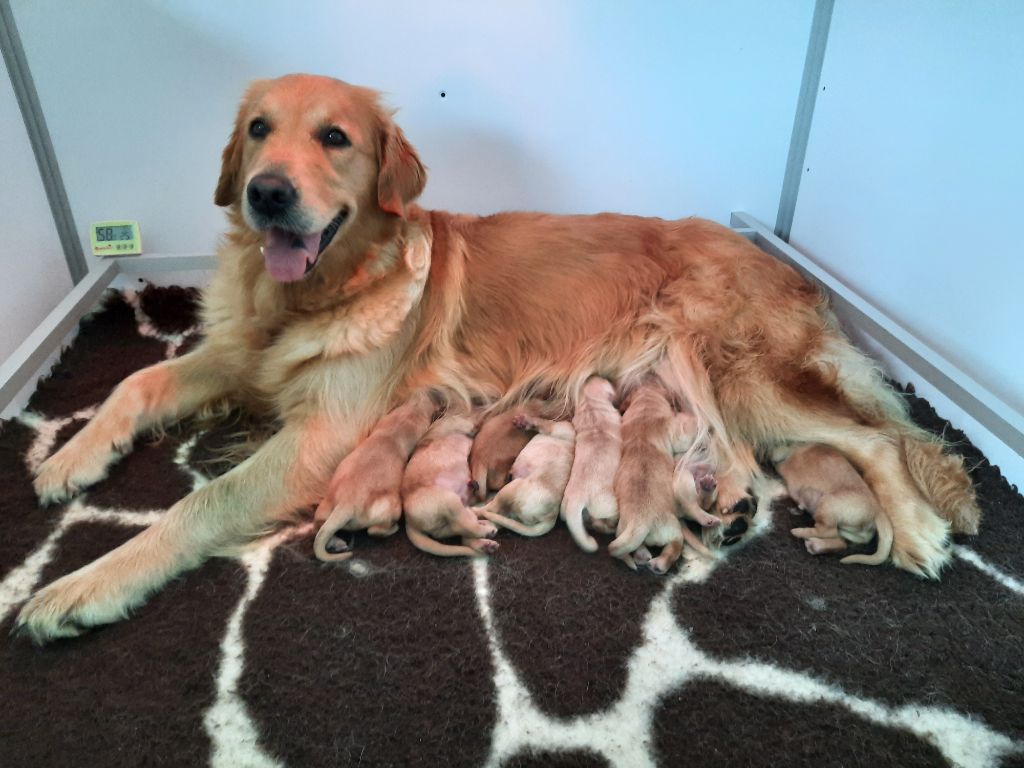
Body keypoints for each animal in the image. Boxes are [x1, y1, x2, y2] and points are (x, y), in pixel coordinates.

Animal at [313, 391, 438, 565]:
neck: (409, 412)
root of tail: (346, 504)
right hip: (390, 507)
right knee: (374, 531)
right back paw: (393, 528)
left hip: (325, 508)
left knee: (320, 525)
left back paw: (336, 542)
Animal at [399, 411, 499, 557]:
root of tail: (409, 521)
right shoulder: (464, 424)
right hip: (449, 500)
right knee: (465, 526)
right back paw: (485, 532)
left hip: (450, 519)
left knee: (463, 532)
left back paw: (485, 542)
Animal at [606, 382, 712, 573]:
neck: (645, 407)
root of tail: (640, 522)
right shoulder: (676, 434)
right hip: (672, 528)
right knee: (675, 545)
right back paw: (659, 563)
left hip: (623, 530)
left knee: (634, 547)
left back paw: (642, 556)